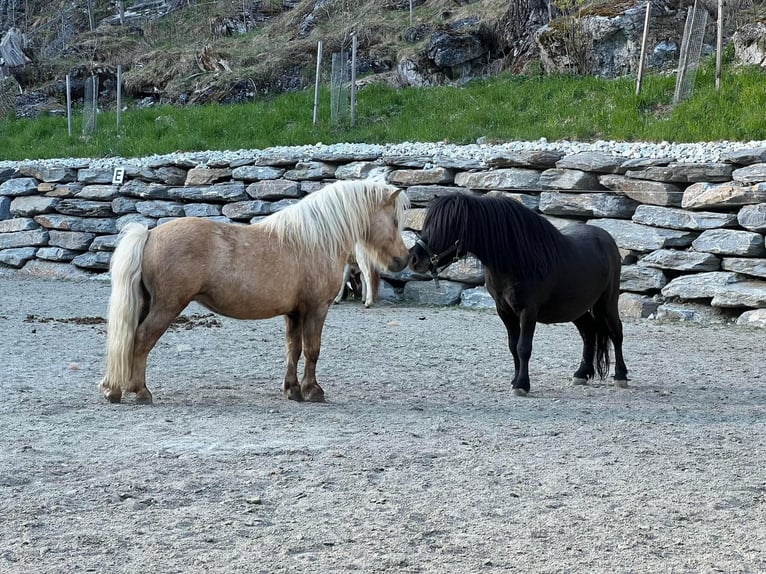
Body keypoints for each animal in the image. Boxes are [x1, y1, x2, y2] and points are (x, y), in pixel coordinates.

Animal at [103, 180, 414, 404]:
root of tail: (149, 234)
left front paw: (292, 390)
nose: (404, 259)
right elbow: (312, 350)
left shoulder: (294, 313)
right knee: (142, 339)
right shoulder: (316, 309)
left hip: (147, 304)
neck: (313, 240)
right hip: (167, 306)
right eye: (395, 221)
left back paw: (114, 389)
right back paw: (140, 391)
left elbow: (293, 349)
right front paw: (313, 390)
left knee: (127, 340)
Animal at [414, 194, 632, 396]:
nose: (416, 259)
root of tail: (606, 237)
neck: (516, 260)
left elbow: (523, 347)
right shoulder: (504, 310)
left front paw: (522, 385)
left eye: (448, 225)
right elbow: (513, 347)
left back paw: (621, 377)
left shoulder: (528, 311)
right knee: (589, 331)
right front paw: (515, 380)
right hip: (575, 308)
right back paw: (581, 374)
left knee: (616, 332)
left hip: (607, 302)